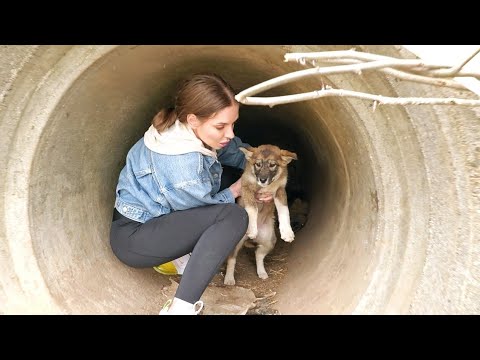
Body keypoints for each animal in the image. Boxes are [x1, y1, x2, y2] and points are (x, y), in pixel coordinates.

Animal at [224, 145, 296, 286]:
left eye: (272, 165)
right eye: (258, 164)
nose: (262, 180)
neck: (268, 186)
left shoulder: (280, 191)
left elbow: (284, 210)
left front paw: (287, 232)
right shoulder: (246, 187)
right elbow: (252, 209)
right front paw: (252, 228)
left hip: (269, 240)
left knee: (258, 254)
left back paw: (261, 272)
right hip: (236, 242)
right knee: (232, 259)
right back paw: (229, 278)